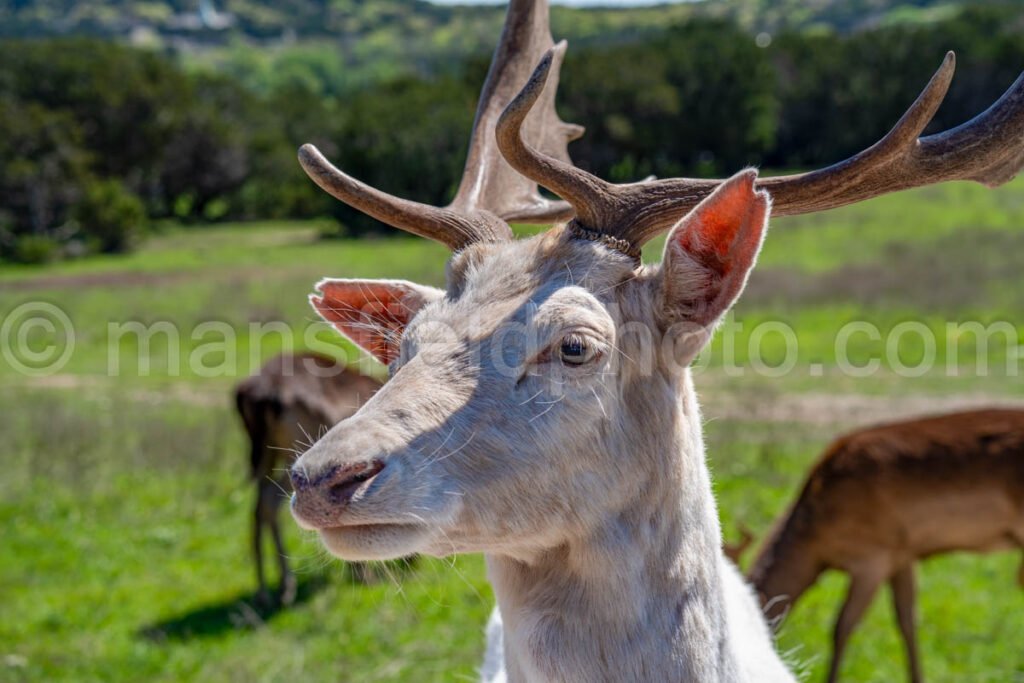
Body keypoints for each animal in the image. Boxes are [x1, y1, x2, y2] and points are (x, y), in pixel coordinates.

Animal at [234, 352, 382, 602]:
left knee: (259, 506)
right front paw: (362, 573)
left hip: (266, 454)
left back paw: (265, 590)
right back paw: (285, 587)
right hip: (298, 454)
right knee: (271, 502)